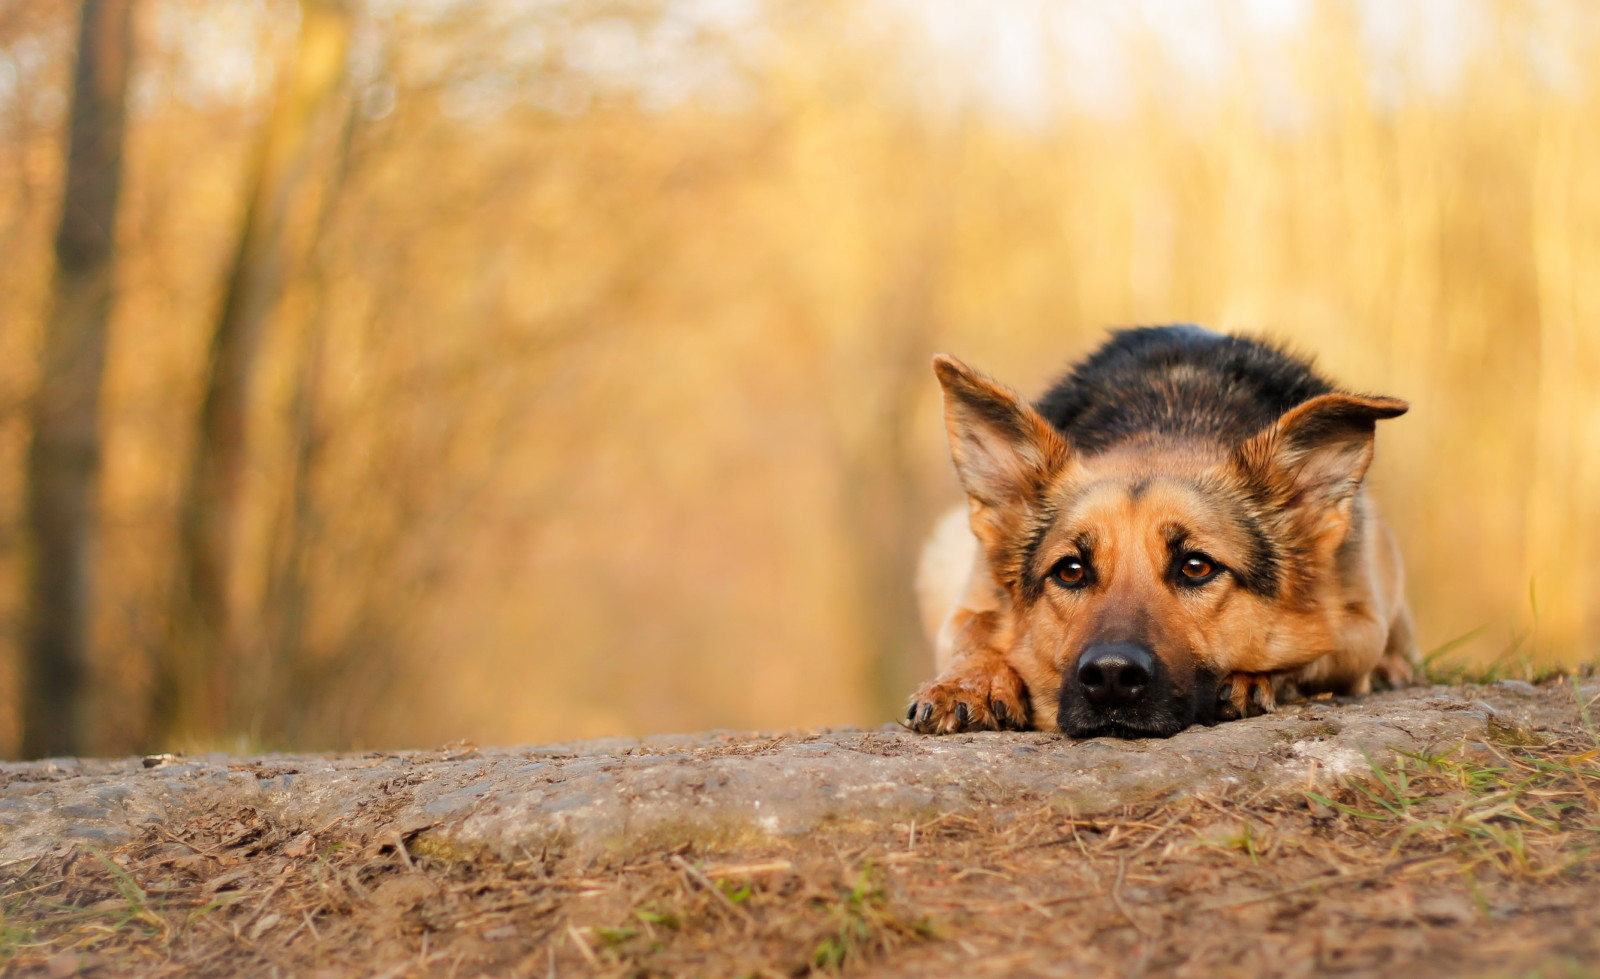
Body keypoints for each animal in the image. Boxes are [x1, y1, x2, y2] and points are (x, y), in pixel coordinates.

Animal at [908, 324, 1420, 739]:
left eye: (1196, 566)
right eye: (1070, 571)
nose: (1111, 677)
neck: (1168, 423)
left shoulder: (1360, 625)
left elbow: (1314, 656)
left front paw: (1252, 678)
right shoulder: (969, 598)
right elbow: (974, 630)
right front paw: (968, 682)